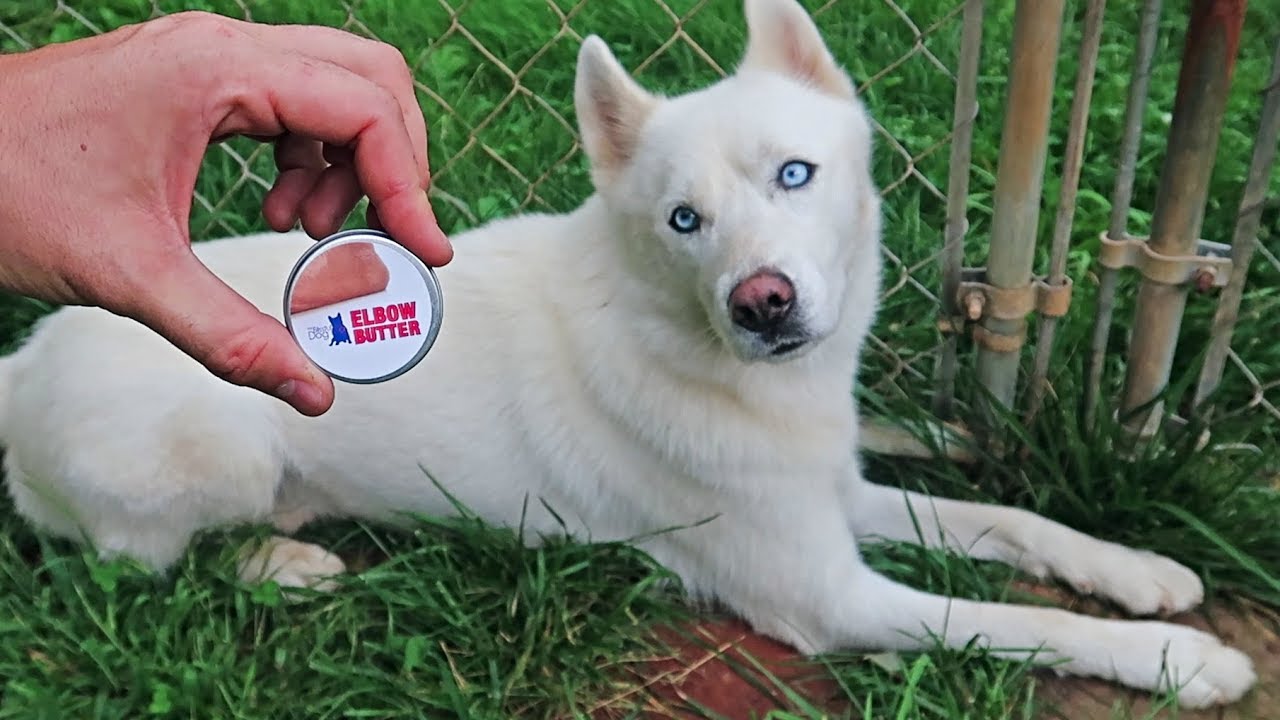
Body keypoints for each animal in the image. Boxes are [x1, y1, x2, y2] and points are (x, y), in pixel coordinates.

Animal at [0, 0, 1256, 708]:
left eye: (793, 174)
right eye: (681, 221)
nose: (760, 304)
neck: (703, 354)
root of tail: (22, 361)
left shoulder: (831, 497)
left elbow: (1009, 524)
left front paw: (1136, 571)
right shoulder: (826, 597)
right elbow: (1021, 623)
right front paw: (1179, 664)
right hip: (225, 436)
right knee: (141, 564)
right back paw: (283, 562)